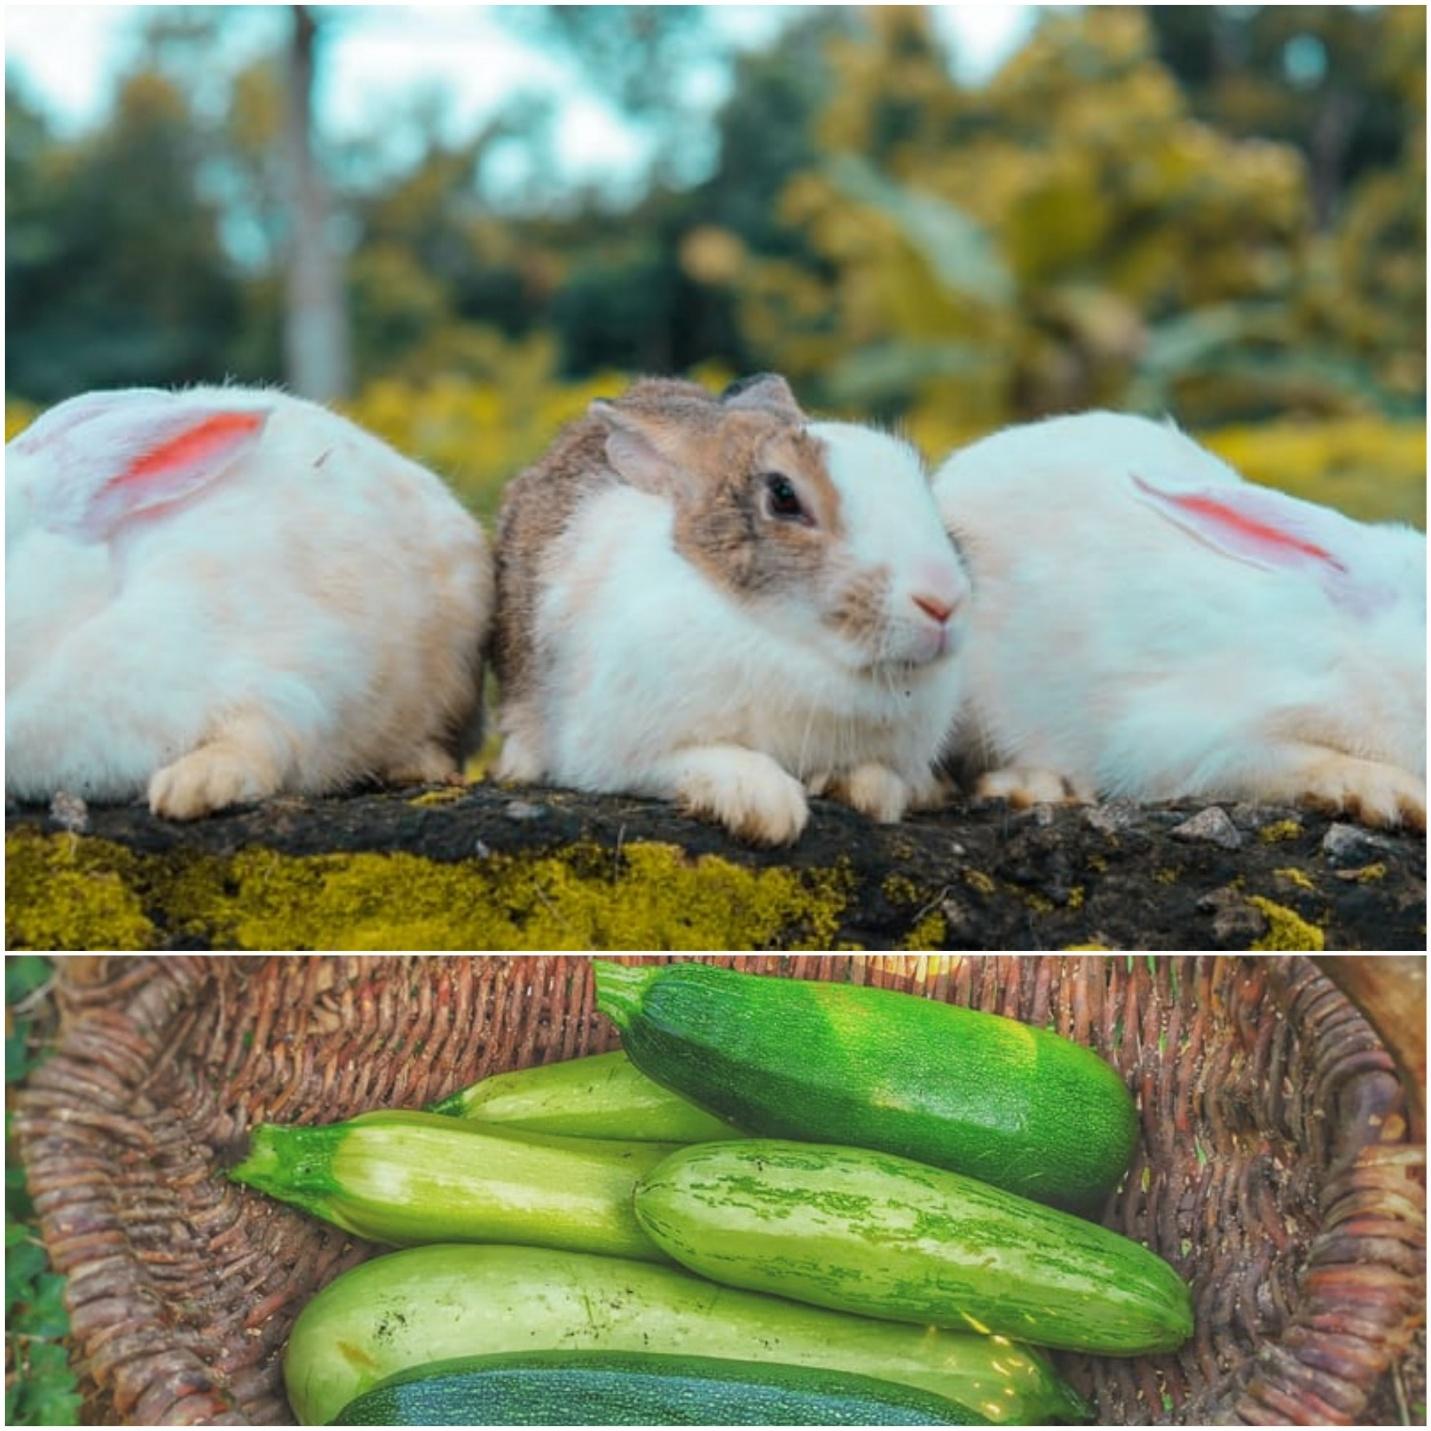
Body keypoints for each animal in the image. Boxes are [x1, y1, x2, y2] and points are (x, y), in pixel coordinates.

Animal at [490, 373, 970, 845]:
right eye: (783, 496)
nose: (943, 602)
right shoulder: (612, 748)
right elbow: (697, 759)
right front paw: (764, 806)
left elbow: (877, 780)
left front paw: (865, 793)